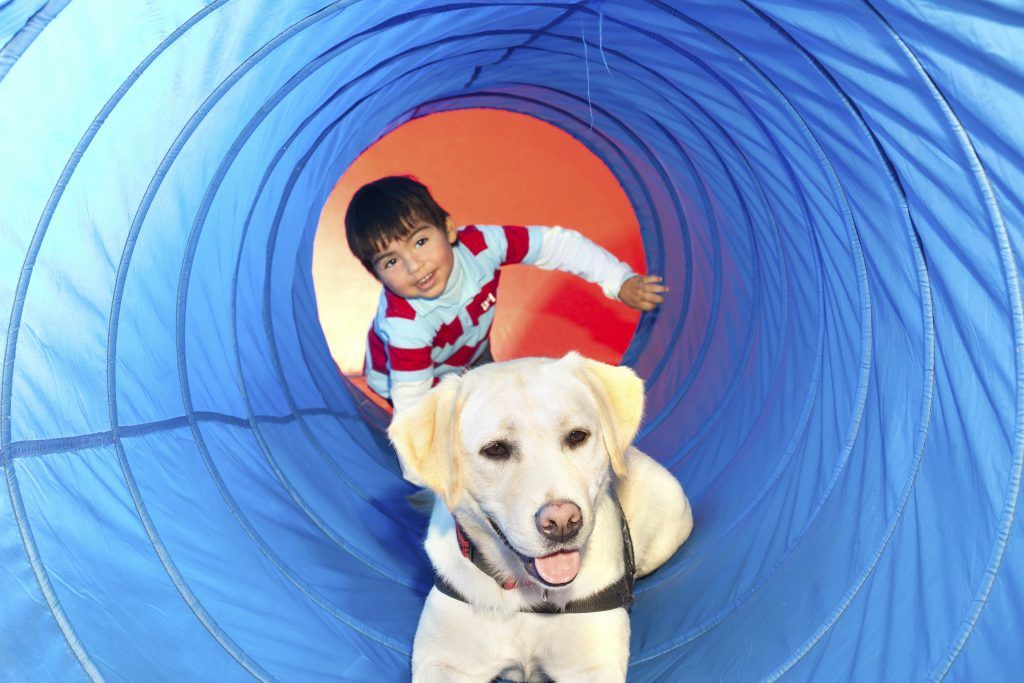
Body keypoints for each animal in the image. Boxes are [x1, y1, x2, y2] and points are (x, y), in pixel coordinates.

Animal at [387, 356, 692, 679]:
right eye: (495, 449)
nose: (562, 523)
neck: (529, 596)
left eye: (577, 436)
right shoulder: (444, 662)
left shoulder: (591, 666)